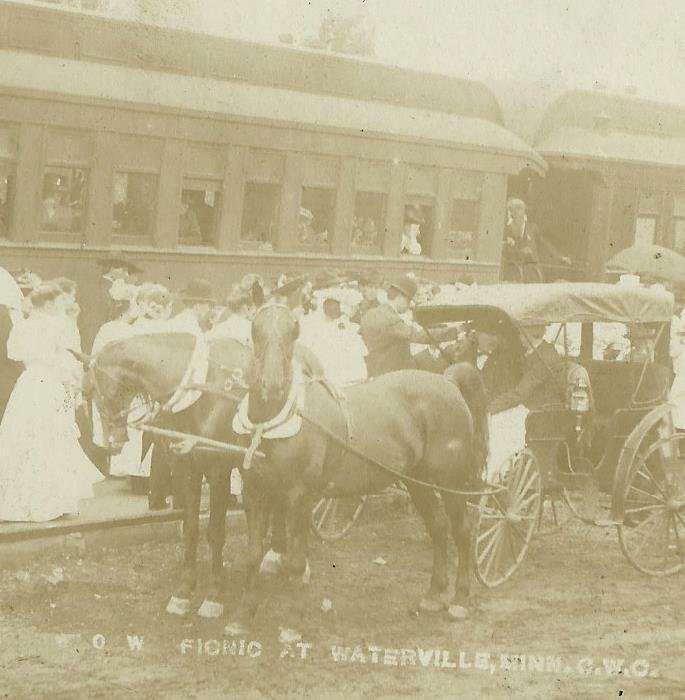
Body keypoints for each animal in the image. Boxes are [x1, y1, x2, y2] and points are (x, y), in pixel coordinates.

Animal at [227, 304, 488, 636]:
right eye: (255, 330)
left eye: (294, 331)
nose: (271, 386)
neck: (278, 423)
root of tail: (449, 382)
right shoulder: (255, 494)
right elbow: (252, 555)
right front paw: (242, 614)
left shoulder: (300, 498)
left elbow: (296, 562)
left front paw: (294, 622)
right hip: (418, 482)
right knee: (439, 528)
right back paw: (433, 594)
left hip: (449, 482)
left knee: (462, 531)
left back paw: (461, 598)